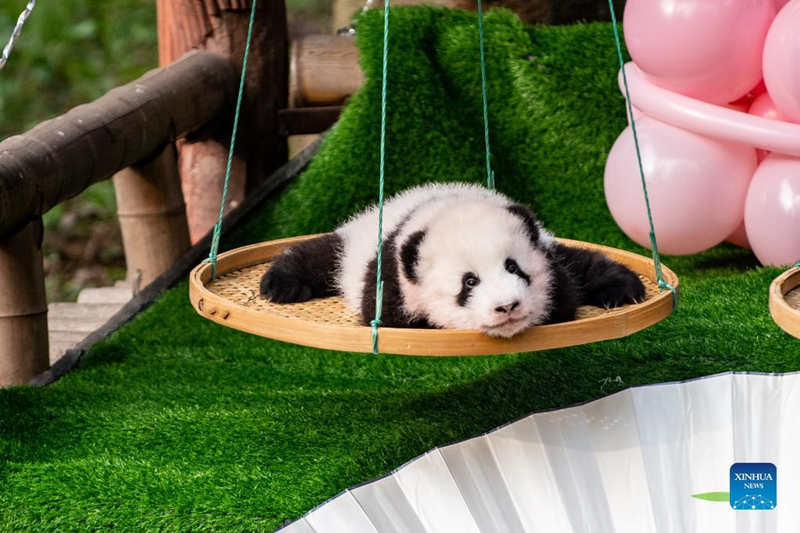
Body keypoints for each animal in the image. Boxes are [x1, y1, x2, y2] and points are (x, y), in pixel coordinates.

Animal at [260, 183, 645, 338]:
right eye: (469, 282)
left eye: (513, 266)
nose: (507, 306)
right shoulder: (389, 276)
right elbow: (389, 315)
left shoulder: (547, 249)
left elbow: (573, 274)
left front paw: (625, 289)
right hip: (353, 246)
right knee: (322, 255)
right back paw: (279, 284)